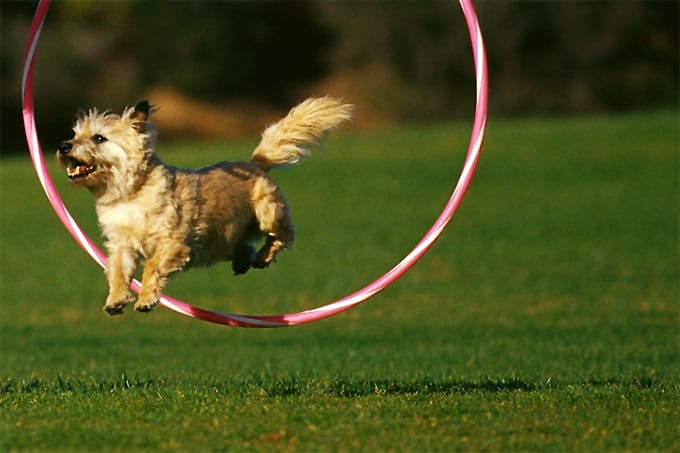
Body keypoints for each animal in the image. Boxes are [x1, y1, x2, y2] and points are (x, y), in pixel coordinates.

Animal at [56, 96, 354, 314]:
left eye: (99, 138)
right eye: (74, 134)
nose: (63, 145)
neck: (129, 194)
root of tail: (256, 163)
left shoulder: (173, 243)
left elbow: (152, 267)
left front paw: (146, 299)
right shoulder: (121, 246)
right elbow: (117, 271)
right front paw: (116, 299)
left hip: (269, 213)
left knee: (283, 235)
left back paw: (264, 256)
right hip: (223, 240)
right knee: (245, 244)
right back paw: (243, 261)